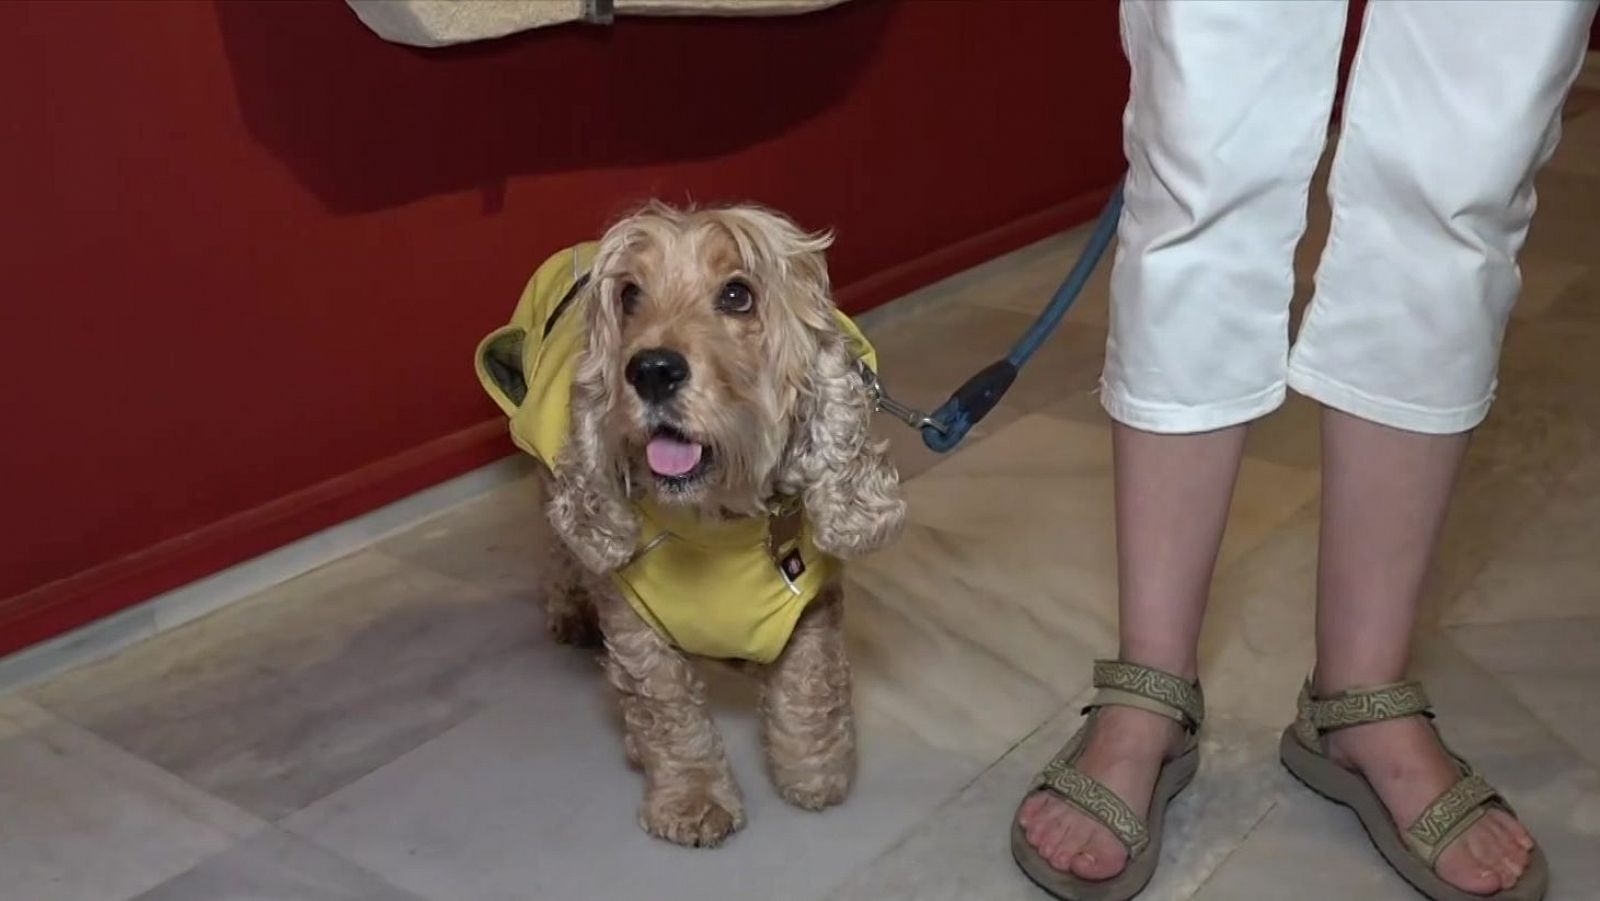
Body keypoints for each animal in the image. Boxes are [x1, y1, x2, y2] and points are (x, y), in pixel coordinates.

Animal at [467, 202, 908, 844]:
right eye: (629, 295)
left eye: (738, 294)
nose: (651, 370)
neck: (715, 520)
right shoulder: (633, 620)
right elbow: (668, 711)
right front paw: (693, 800)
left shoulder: (814, 601)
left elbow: (810, 681)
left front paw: (815, 771)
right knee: (560, 546)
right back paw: (570, 609)